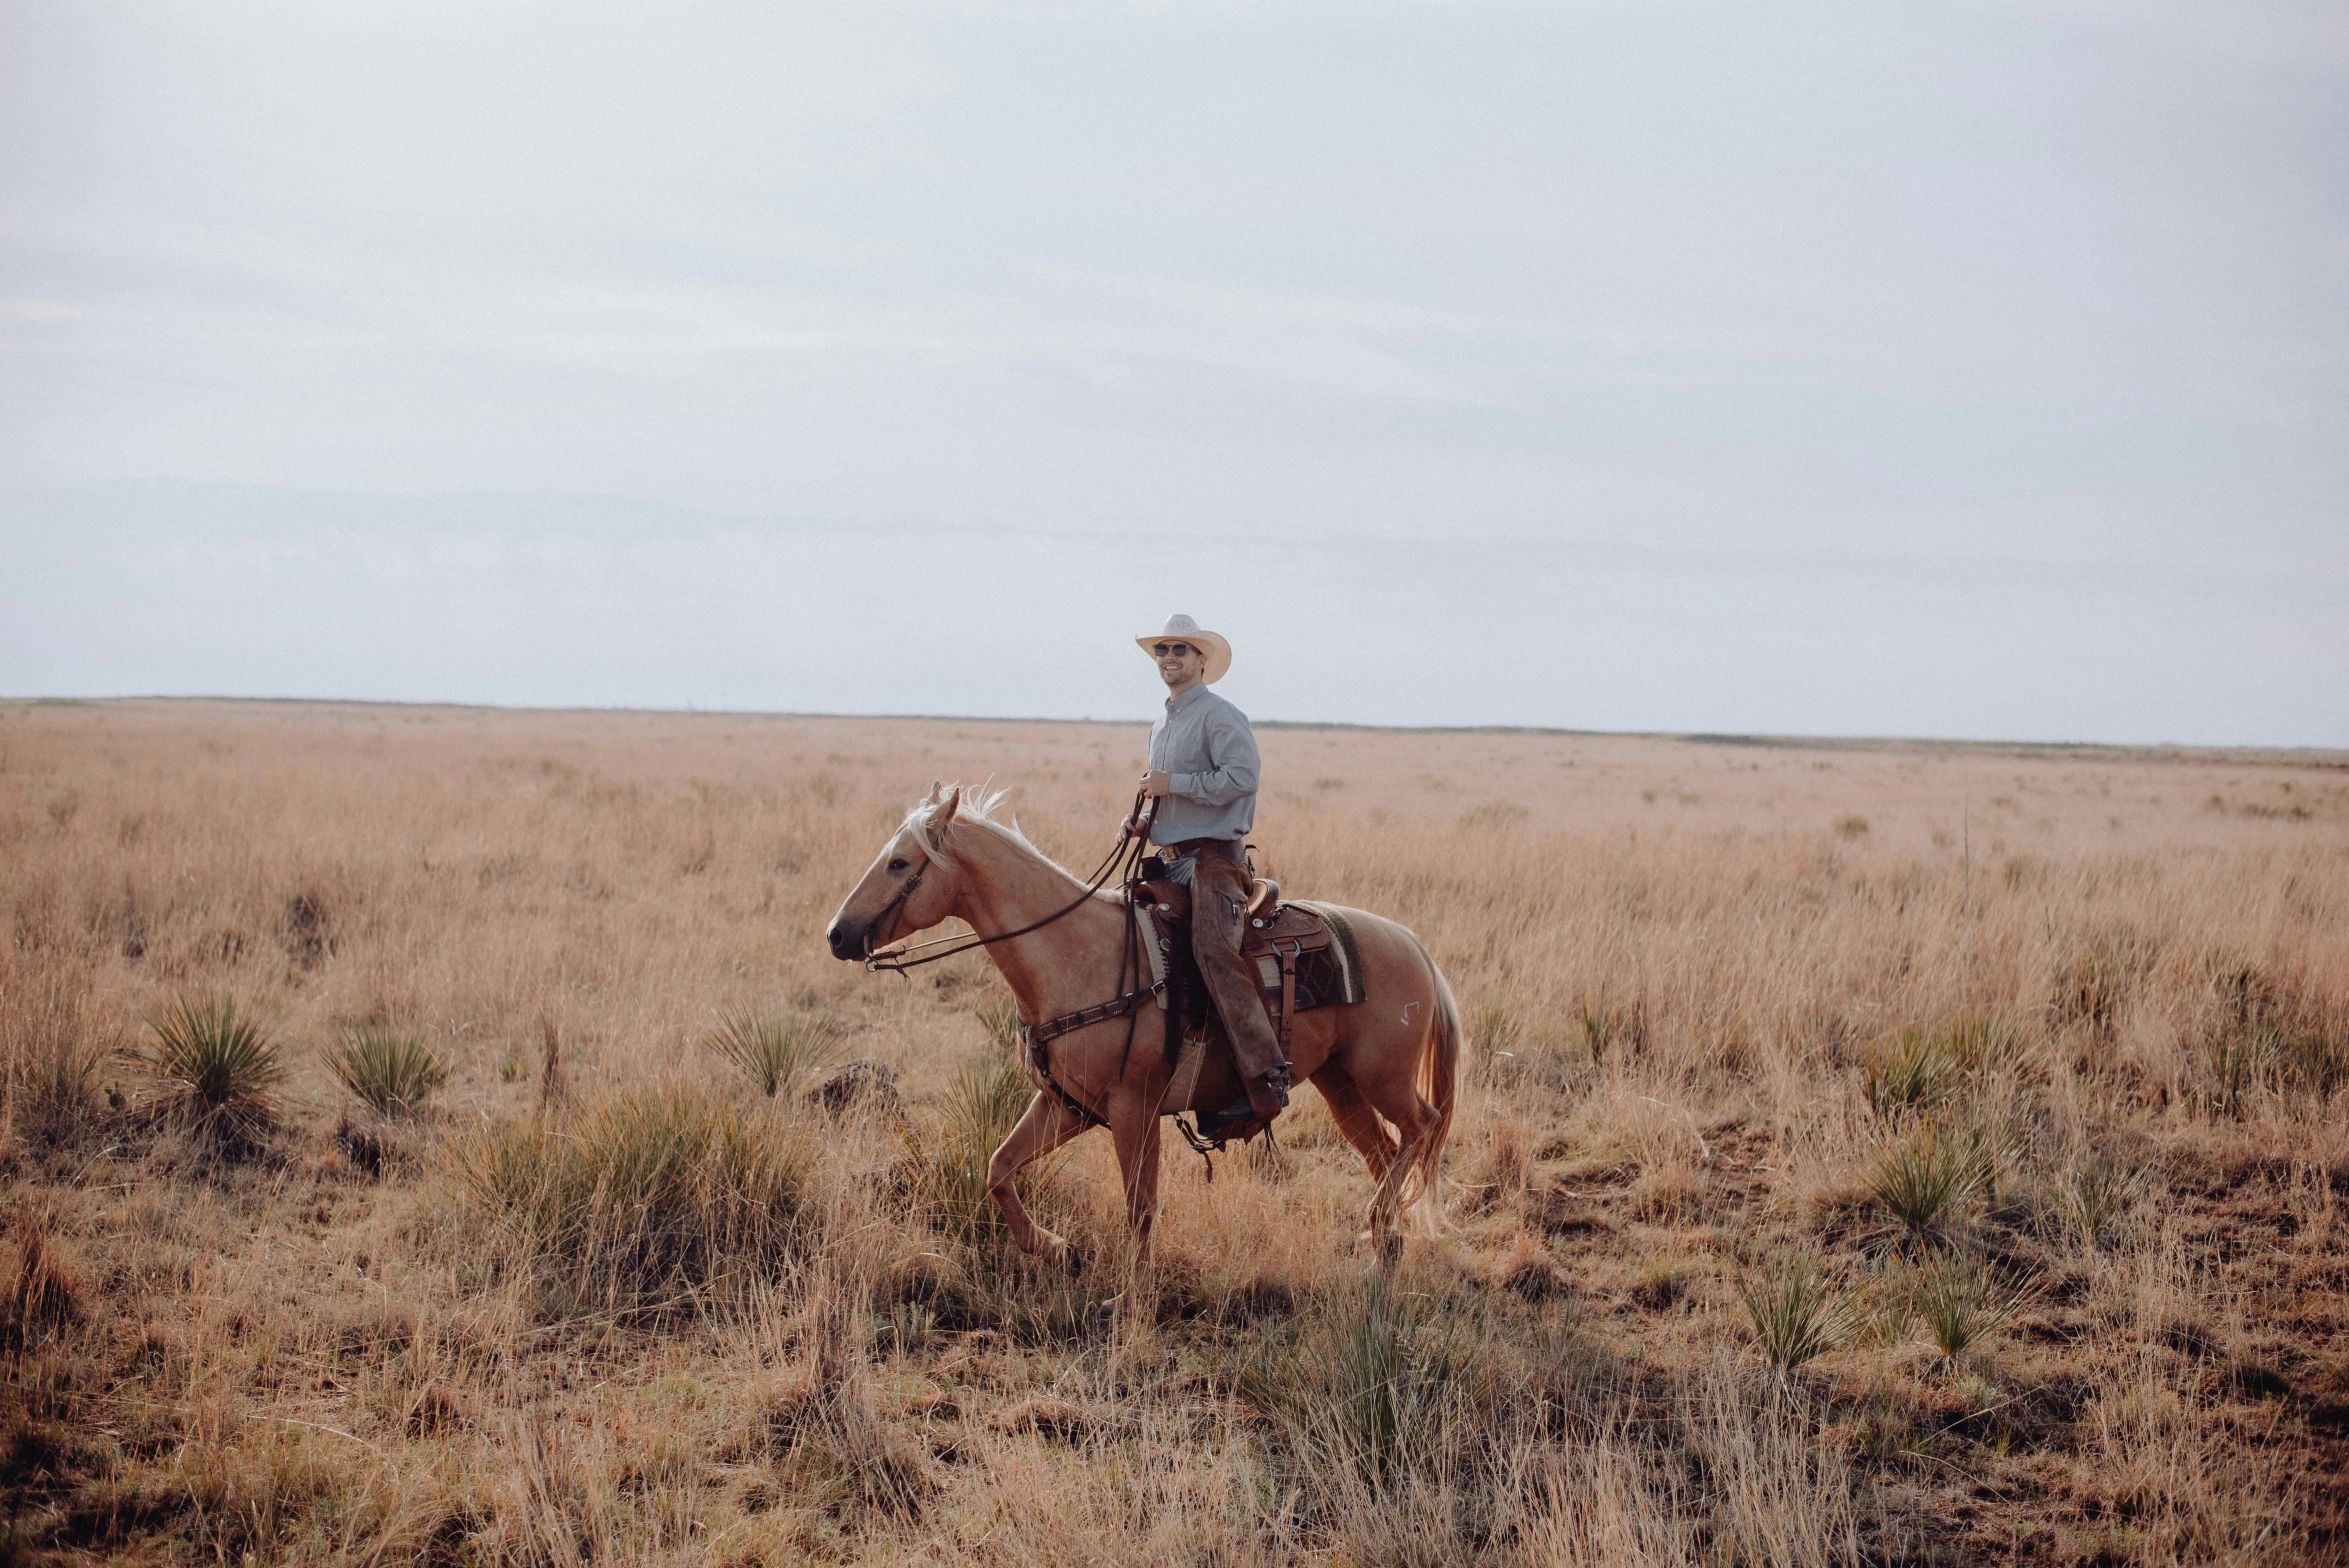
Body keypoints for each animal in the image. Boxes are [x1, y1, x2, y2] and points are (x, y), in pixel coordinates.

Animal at [822, 784, 1446, 1276]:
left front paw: (1130, 1299)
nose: (837, 934)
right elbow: (999, 1168)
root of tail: (1413, 944)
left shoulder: (1134, 1107)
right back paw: (1384, 1242)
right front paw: (1058, 1249)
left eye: (900, 863)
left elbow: (1139, 1207)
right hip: (1339, 1082)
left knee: (1422, 1127)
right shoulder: (1067, 1104)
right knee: (1386, 1150)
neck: (1074, 955)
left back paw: (1379, 1223)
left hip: (1382, 1077)